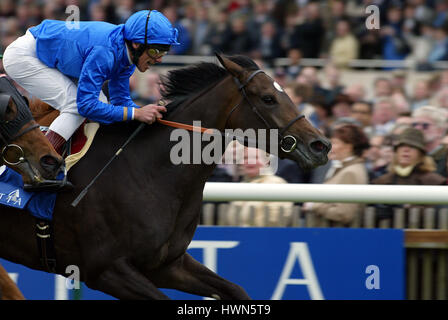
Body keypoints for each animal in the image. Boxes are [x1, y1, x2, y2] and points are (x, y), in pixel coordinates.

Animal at [0, 55, 328, 300]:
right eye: (269, 98)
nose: (321, 145)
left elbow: (236, 290)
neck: (149, 170)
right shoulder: (106, 270)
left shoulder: (167, 265)